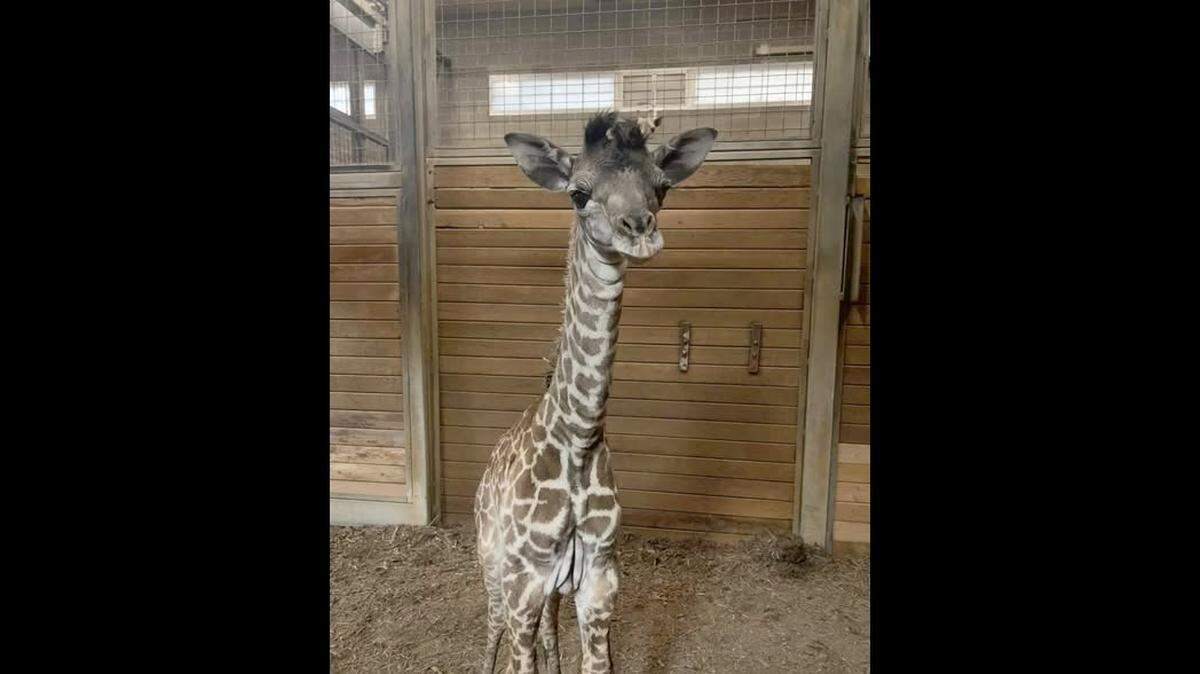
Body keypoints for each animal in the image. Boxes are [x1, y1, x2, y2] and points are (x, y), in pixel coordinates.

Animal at [472, 112, 717, 674]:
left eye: (661, 186)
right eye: (578, 194)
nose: (640, 229)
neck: (579, 441)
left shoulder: (600, 584)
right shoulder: (522, 584)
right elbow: (516, 652)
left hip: (552, 589)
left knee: (549, 634)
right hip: (491, 563)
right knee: (491, 629)